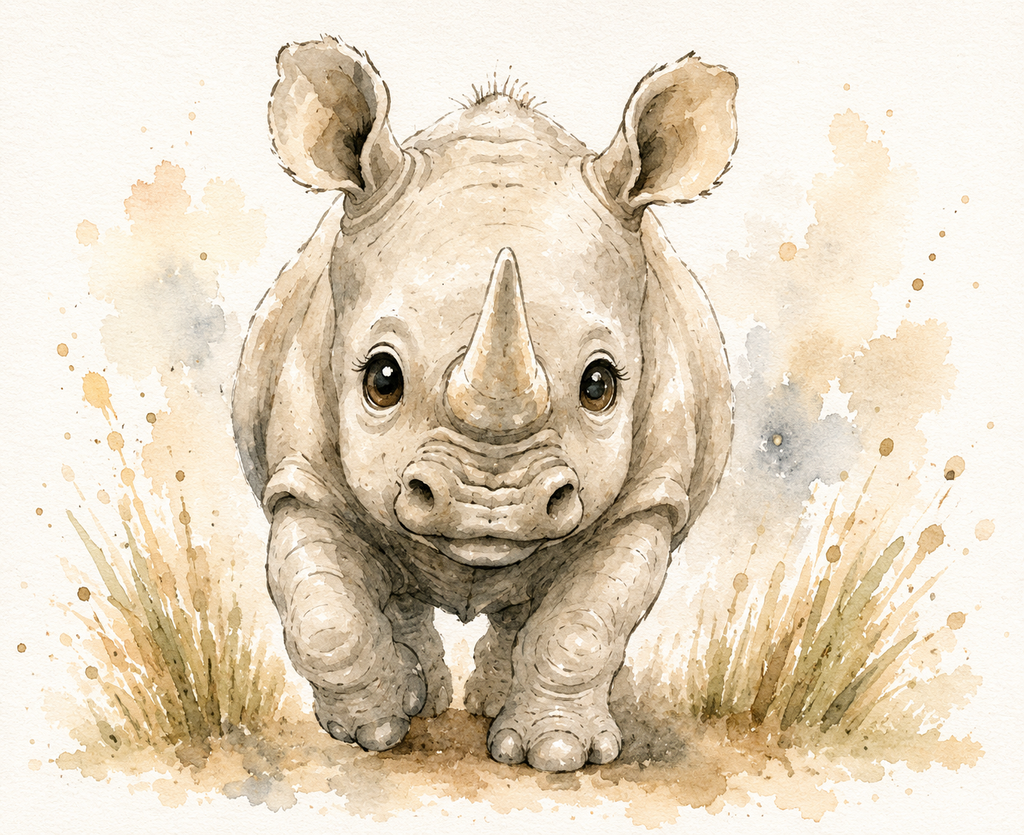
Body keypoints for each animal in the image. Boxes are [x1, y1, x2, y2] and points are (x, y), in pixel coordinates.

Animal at [233, 36, 736, 772]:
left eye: (600, 385)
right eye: (382, 378)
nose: (489, 505)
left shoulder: (652, 492)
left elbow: (584, 623)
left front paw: (555, 752)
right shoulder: (302, 471)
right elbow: (325, 617)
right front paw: (372, 728)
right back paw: (422, 699)